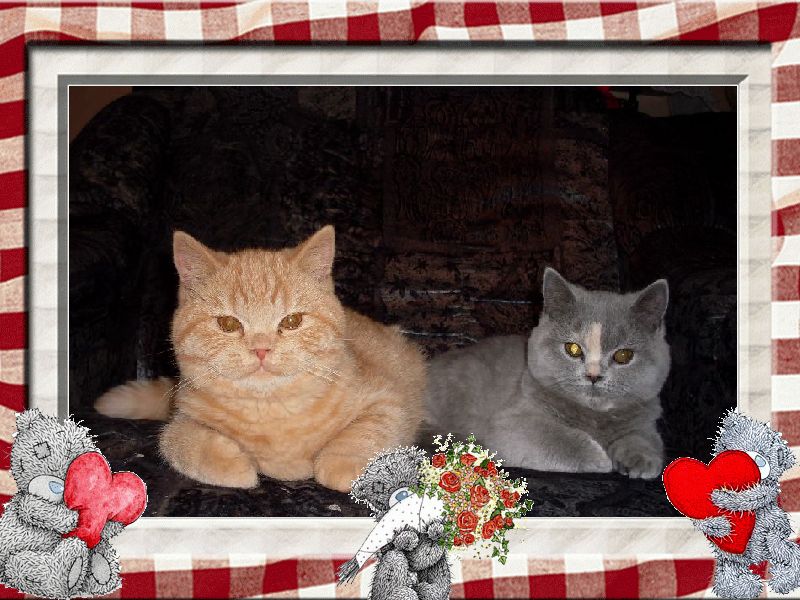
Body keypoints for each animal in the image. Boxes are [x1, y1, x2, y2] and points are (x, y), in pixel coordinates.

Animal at [95, 226, 426, 492]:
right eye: (228, 324)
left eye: (292, 321)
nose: (261, 349)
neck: (271, 410)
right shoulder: (183, 416)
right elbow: (180, 441)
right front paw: (235, 465)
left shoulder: (389, 402)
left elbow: (366, 431)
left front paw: (344, 464)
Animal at [425, 267, 670, 479]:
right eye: (573, 349)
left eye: (623, 356)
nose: (593, 375)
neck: (594, 417)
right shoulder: (512, 421)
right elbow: (555, 437)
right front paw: (600, 459)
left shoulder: (645, 414)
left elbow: (645, 436)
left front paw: (642, 458)